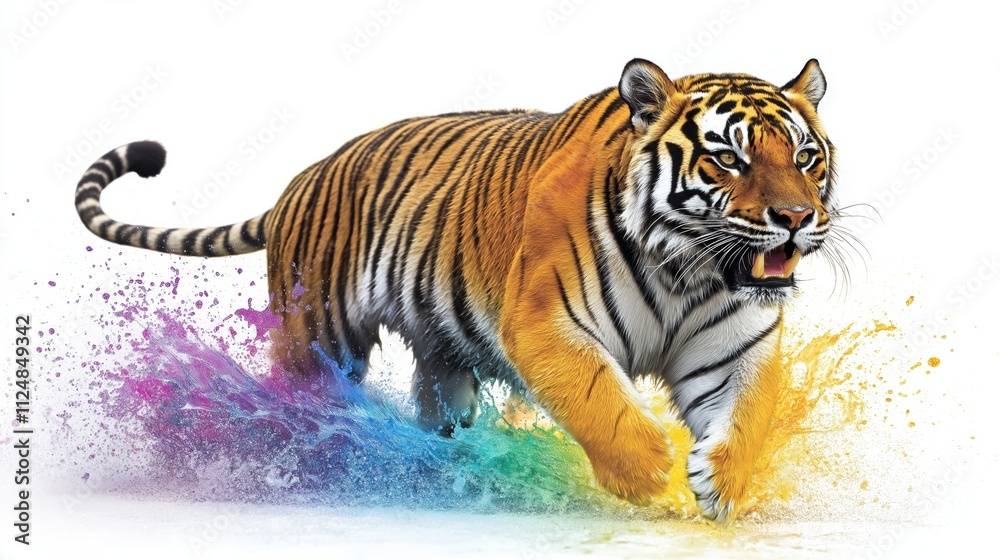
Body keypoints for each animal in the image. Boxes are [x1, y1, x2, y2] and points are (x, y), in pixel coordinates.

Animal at [75, 58, 836, 521]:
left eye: (805, 156)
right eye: (728, 157)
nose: (796, 219)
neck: (688, 266)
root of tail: (301, 178)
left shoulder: (735, 345)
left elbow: (749, 415)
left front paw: (719, 488)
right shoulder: (545, 322)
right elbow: (601, 402)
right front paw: (650, 477)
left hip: (444, 350)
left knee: (438, 402)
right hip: (317, 334)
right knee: (297, 394)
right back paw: (304, 461)